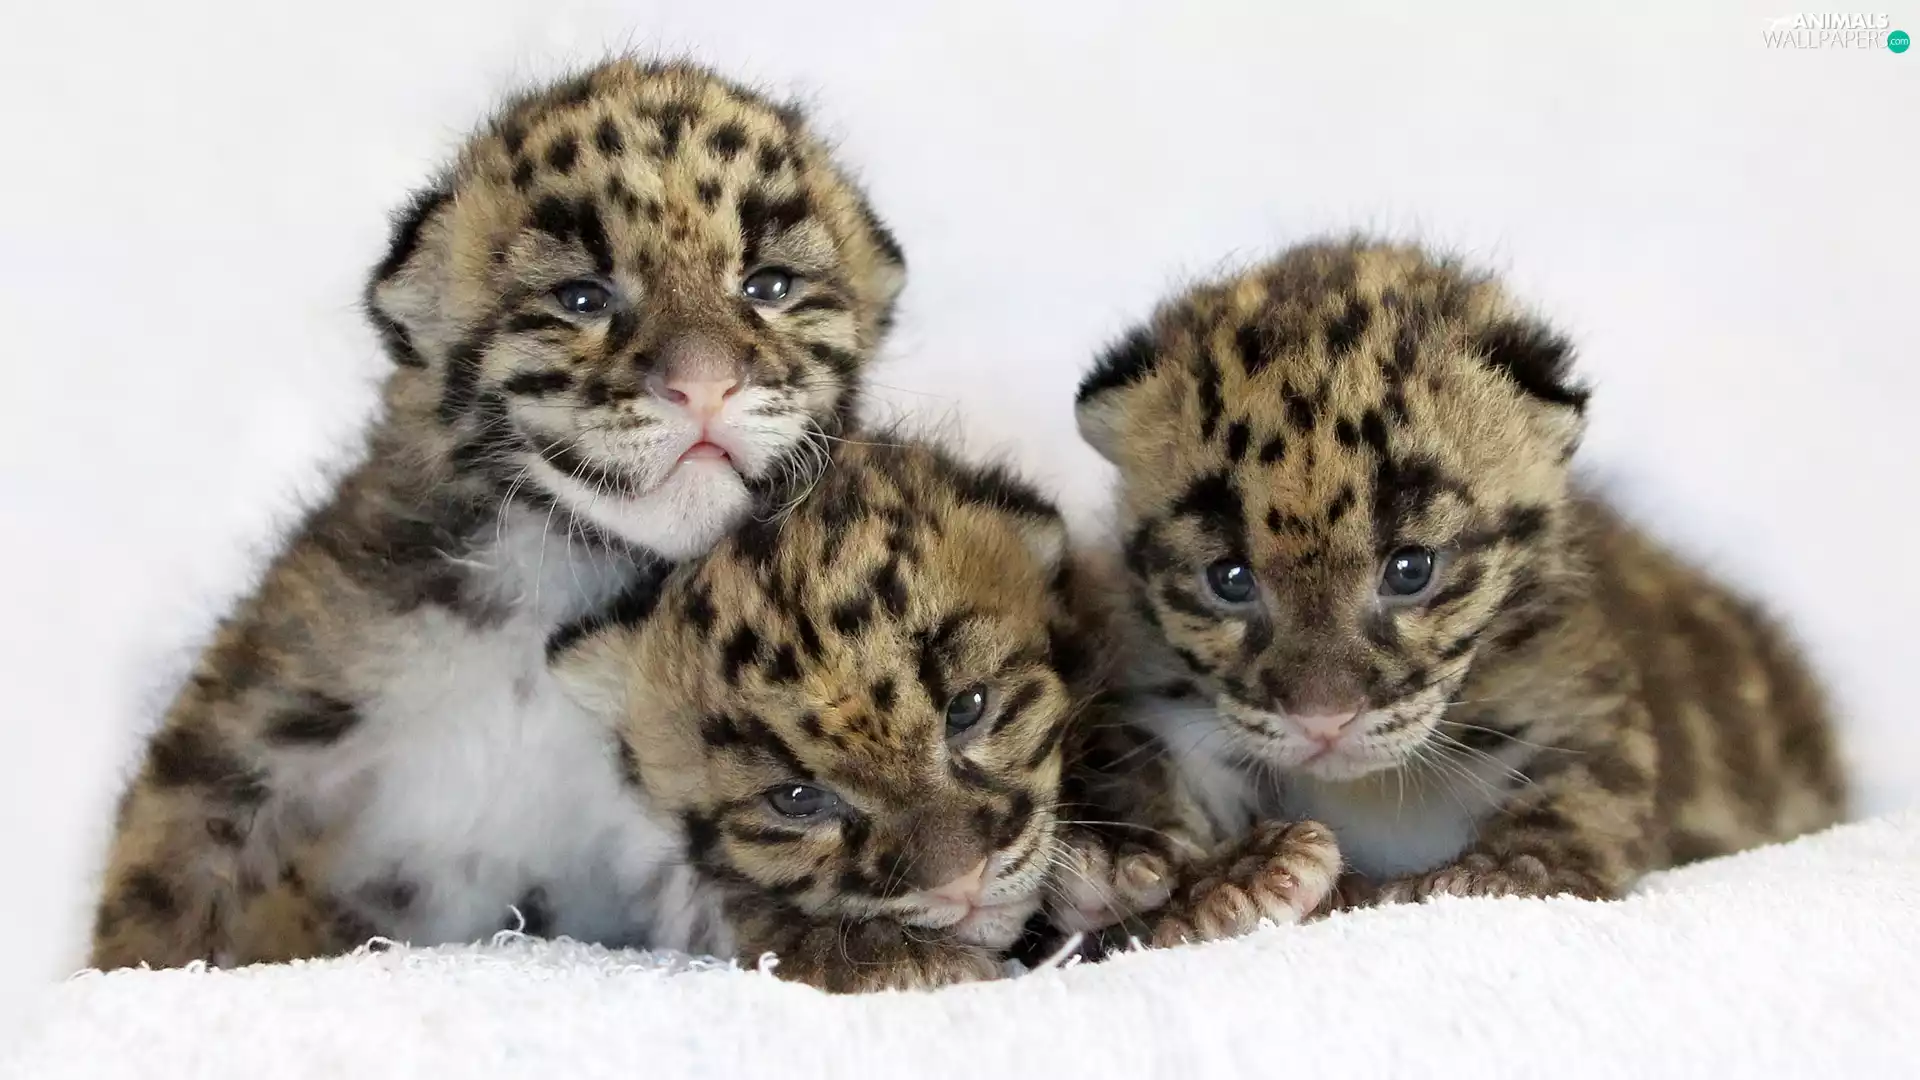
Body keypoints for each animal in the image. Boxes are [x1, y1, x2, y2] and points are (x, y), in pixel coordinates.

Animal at [88, 56, 906, 970]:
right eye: (583, 298)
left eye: (769, 287)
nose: (704, 383)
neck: (563, 572)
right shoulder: (259, 713)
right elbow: (164, 874)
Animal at [1064, 236, 1847, 936]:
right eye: (1229, 579)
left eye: (1411, 569)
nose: (1323, 720)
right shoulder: (1168, 711)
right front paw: (1216, 880)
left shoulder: (1571, 680)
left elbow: (1591, 780)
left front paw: (1505, 871)